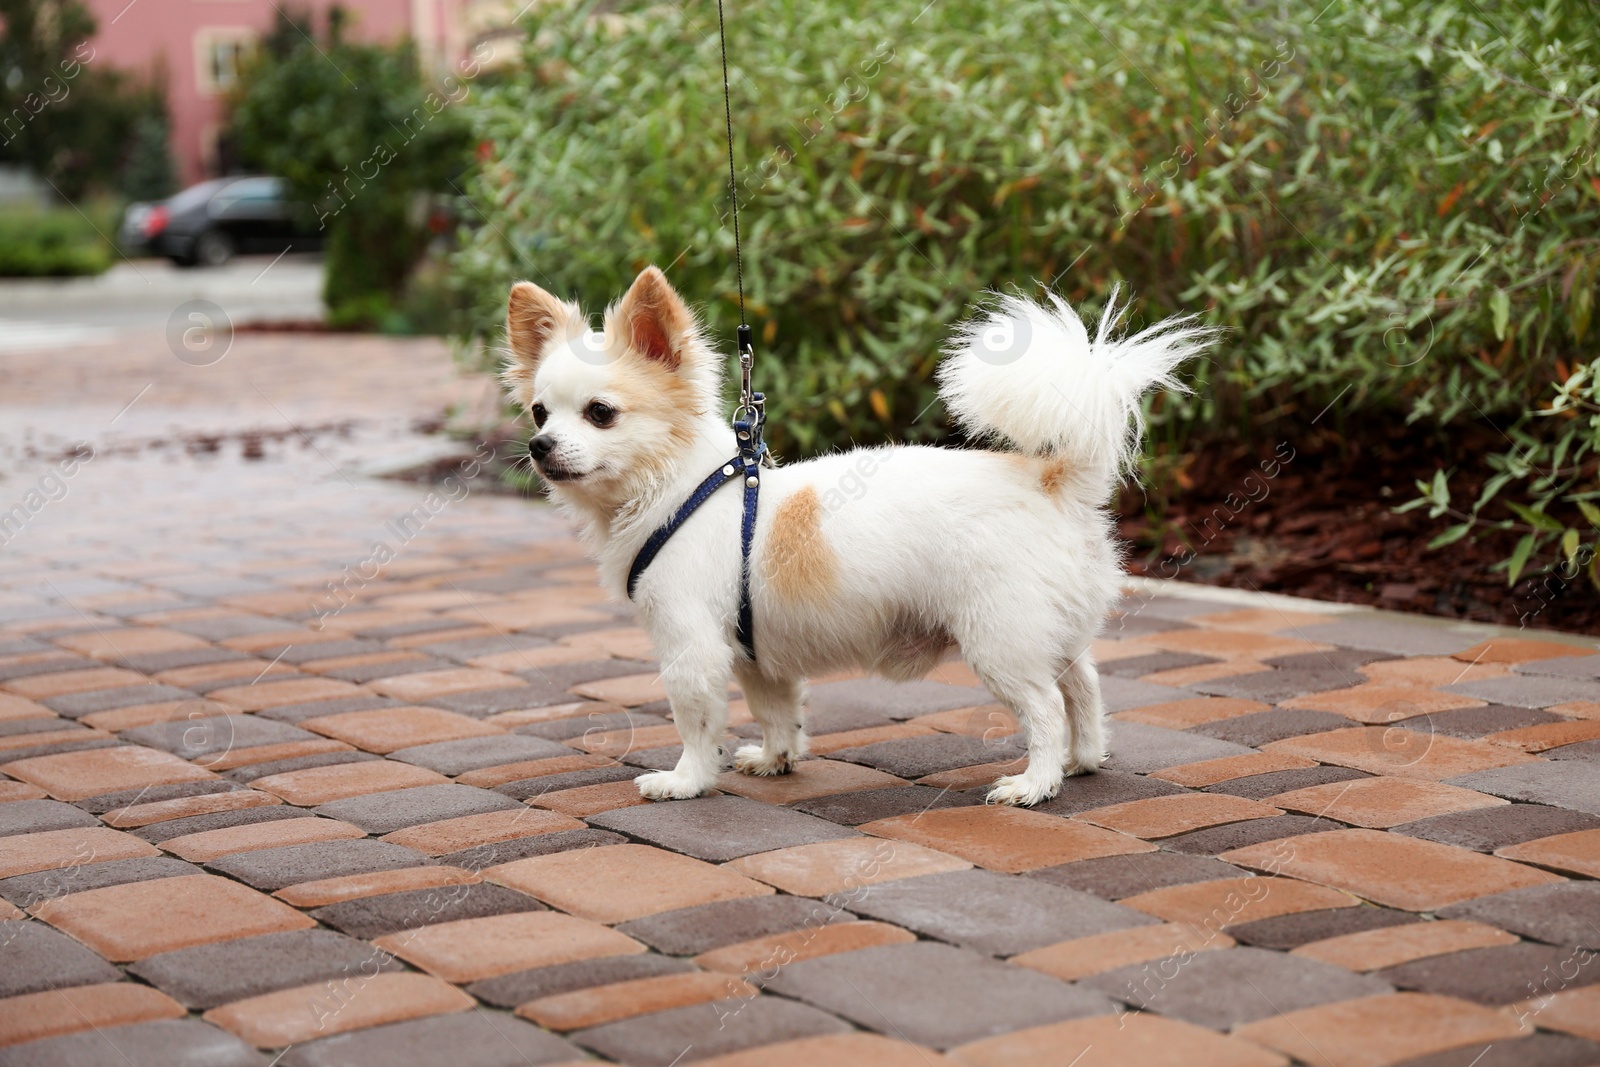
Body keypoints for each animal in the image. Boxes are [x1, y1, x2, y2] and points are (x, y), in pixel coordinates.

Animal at [502, 268, 1209, 809]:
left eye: (600, 413)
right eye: (539, 413)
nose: (539, 446)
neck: (677, 490)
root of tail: (1051, 479)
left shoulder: (690, 650)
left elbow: (697, 723)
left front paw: (685, 782)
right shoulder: (754, 653)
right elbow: (776, 709)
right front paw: (777, 759)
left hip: (998, 641)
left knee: (1045, 709)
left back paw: (1035, 783)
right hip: (1049, 628)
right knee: (1082, 686)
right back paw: (1082, 760)